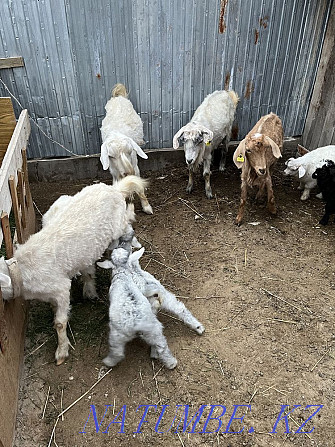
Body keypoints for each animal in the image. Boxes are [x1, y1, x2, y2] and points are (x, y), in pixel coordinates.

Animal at [0, 177, 147, 366]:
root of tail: (114, 189)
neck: (21, 269)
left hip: (118, 225)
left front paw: (61, 351)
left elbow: (60, 322)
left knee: (128, 220)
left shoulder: (61, 288)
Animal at [99, 85, 153, 215]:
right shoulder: (114, 171)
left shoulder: (135, 166)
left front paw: (147, 207)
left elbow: (139, 186)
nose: (127, 172)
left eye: (130, 151)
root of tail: (119, 96)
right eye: (111, 156)